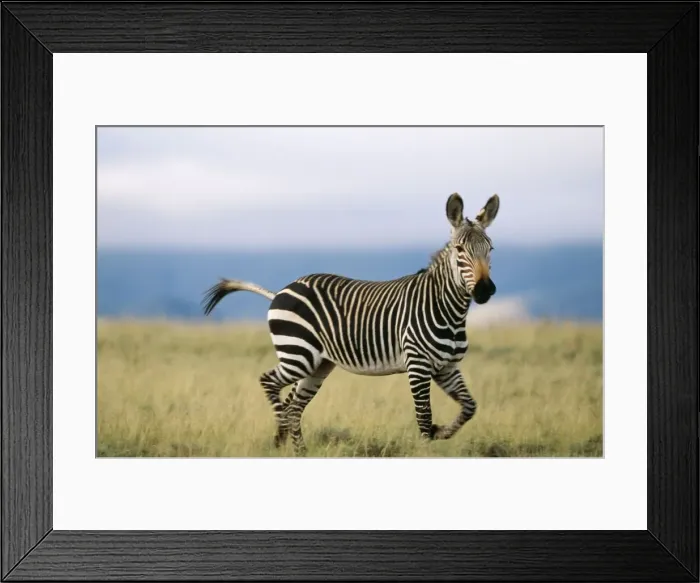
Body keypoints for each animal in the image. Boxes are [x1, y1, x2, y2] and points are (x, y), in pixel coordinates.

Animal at [202, 192, 500, 454]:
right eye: (460, 250)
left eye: (491, 249)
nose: (484, 290)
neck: (448, 312)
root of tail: (280, 291)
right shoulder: (418, 365)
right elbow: (424, 419)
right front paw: (428, 449)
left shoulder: (447, 368)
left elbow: (469, 407)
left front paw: (442, 431)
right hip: (298, 354)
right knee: (270, 384)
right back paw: (283, 436)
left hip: (317, 364)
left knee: (294, 406)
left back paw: (298, 451)